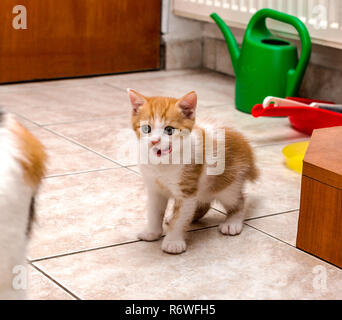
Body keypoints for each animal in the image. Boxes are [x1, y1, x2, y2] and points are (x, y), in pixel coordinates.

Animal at [127, 89, 256, 254]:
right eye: (146, 129)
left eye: (169, 130)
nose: (154, 141)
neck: (163, 164)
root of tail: (245, 143)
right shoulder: (154, 187)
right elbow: (154, 211)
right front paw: (152, 232)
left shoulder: (187, 188)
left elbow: (180, 217)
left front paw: (173, 242)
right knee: (203, 204)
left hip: (228, 184)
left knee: (238, 200)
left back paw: (232, 223)